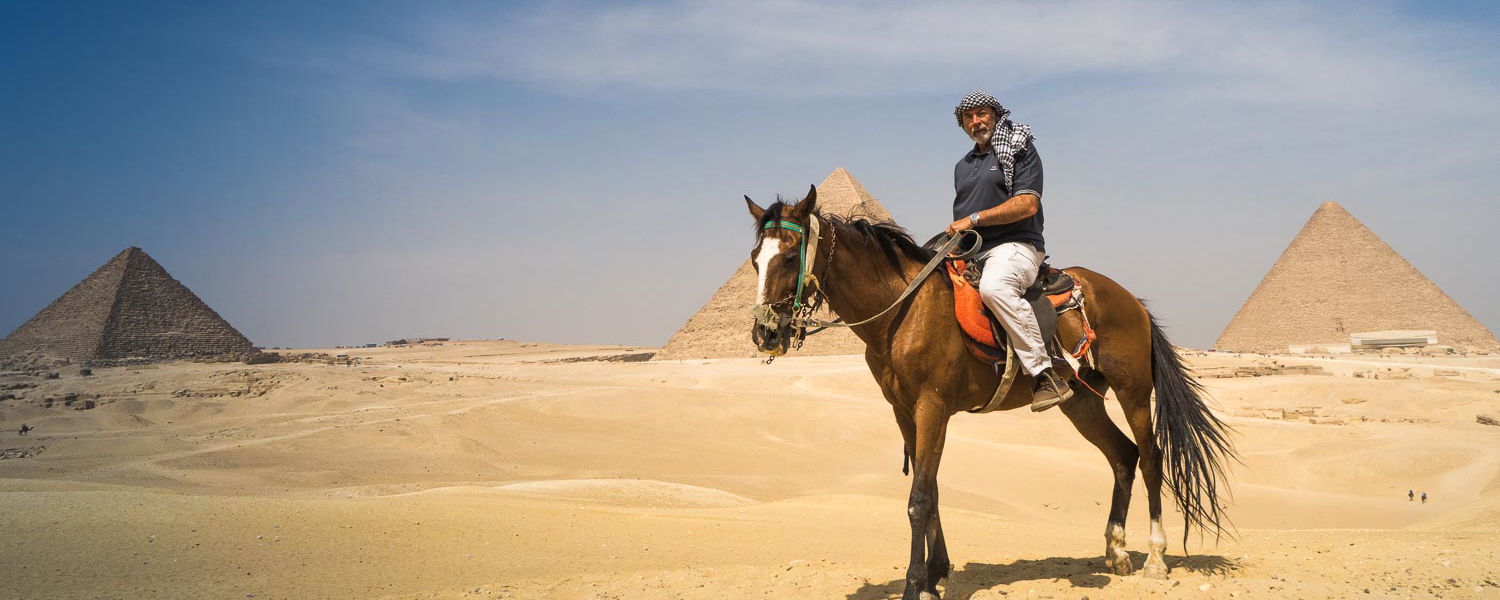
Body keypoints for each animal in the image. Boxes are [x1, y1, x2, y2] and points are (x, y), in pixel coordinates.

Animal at [744, 187, 1236, 600]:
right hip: (1080, 400)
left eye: (788, 259)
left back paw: (1155, 556)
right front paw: (937, 574)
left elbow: (919, 499)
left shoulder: (933, 406)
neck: (901, 309)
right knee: (1122, 455)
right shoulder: (903, 411)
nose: (765, 333)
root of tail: (1132, 299)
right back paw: (1115, 551)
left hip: (1132, 387)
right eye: (753, 259)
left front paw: (915, 585)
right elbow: (932, 490)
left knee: (1151, 457)